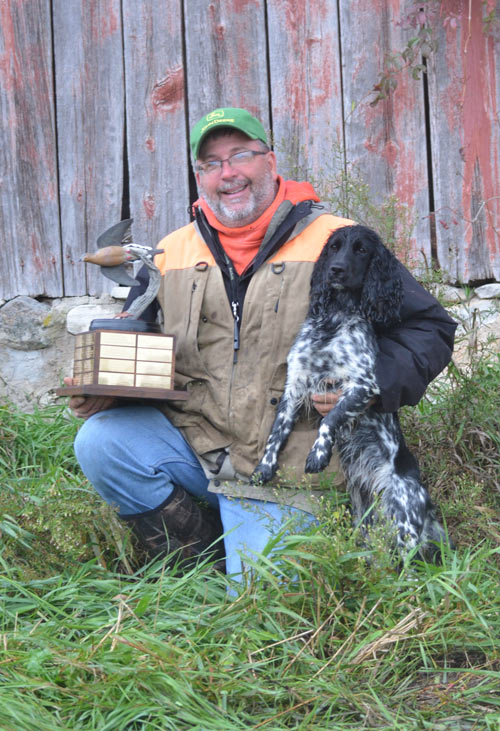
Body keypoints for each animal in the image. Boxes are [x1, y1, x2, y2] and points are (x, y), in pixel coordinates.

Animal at [252, 223, 452, 560]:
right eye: (334, 247)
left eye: (361, 250)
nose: (336, 269)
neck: (333, 320)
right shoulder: (295, 385)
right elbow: (276, 431)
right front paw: (264, 467)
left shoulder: (363, 384)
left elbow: (330, 418)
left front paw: (318, 454)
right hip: (364, 519)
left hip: (403, 515)